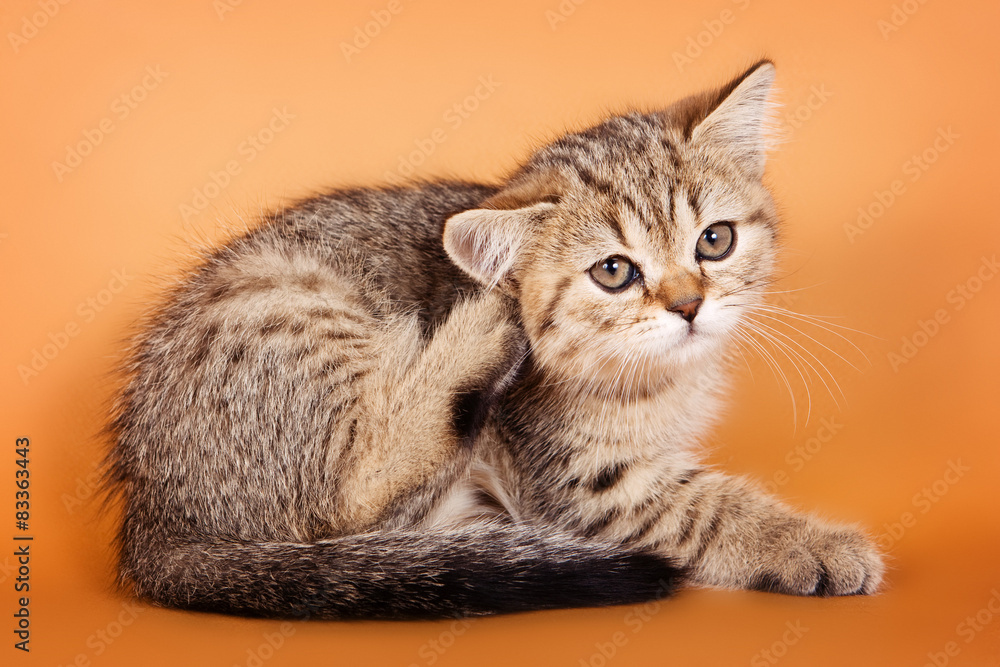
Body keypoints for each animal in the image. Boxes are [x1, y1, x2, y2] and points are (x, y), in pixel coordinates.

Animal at [107, 62, 884, 620]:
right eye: (614, 272)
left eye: (714, 240)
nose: (689, 304)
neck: (656, 379)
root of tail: (155, 518)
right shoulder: (582, 484)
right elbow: (705, 508)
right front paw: (813, 545)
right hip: (297, 309)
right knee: (349, 500)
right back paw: (483, 325)